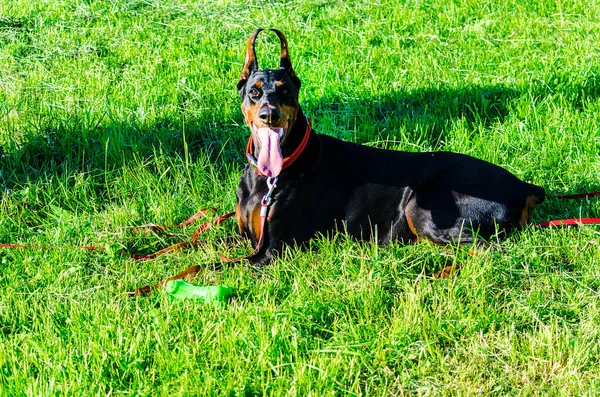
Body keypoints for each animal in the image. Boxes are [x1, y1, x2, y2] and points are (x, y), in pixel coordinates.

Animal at [136, 29, 544, 290]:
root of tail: (524, 185)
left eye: (284, 91)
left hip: (423, 206)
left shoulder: (271, 252)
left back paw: (434, 275)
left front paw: (149, 287)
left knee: (491, 252)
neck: (268, 179)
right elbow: (185, 246)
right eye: (254, 91)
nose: (269, 114)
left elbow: (199, 266)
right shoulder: (245, 236)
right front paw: (142, 255)